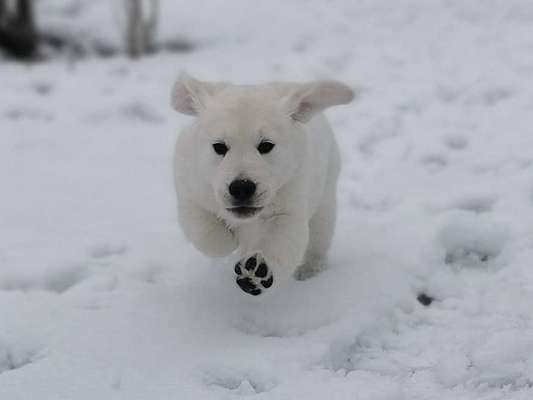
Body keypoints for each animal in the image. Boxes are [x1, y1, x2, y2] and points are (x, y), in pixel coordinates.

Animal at [171, 74, 354, 294]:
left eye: (266, 145)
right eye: (219, 146)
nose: (242, 187)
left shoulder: (291, 196)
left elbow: (283, 241)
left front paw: (257, 272)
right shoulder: (191, 185)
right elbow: (202, 229)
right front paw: (228, 240)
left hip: (326, 190)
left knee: (320, 234)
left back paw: (310, 269)